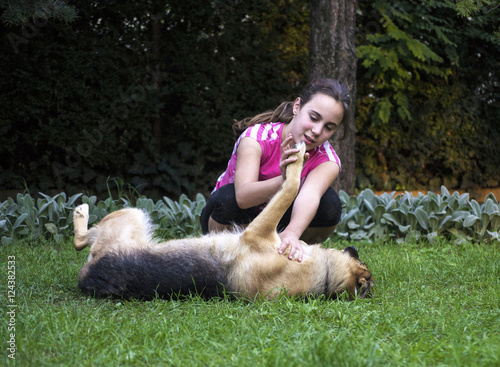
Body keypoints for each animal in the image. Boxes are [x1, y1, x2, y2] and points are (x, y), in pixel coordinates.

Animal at [72, 142, 374, 300]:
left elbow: (291, 186)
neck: (326, 276)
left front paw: (297, 159)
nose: (355, 249)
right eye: (363, 261)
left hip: (133, 214)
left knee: (80, 240)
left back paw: (80, 211)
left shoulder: (256, 232)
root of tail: (88, 277)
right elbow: (290, 186)